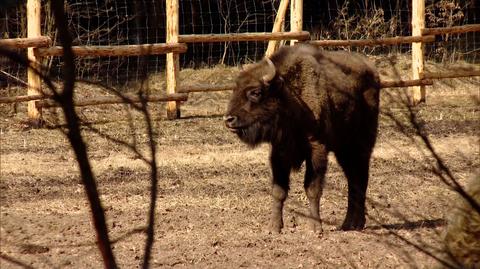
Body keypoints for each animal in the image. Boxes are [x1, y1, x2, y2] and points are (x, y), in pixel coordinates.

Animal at [224, 44, 378, 232]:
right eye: (235, 89)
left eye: (256, 92)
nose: (229, 119)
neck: (290, 97)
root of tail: (372, 70)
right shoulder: (279, 153)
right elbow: (279, 190)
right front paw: (274, 227)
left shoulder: (317, 150)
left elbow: (312, 189)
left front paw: (315, 227)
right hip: (344, 149)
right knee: (353, 179)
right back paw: (349, 224)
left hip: (361, 144)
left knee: (360, 178)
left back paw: (355, 223)